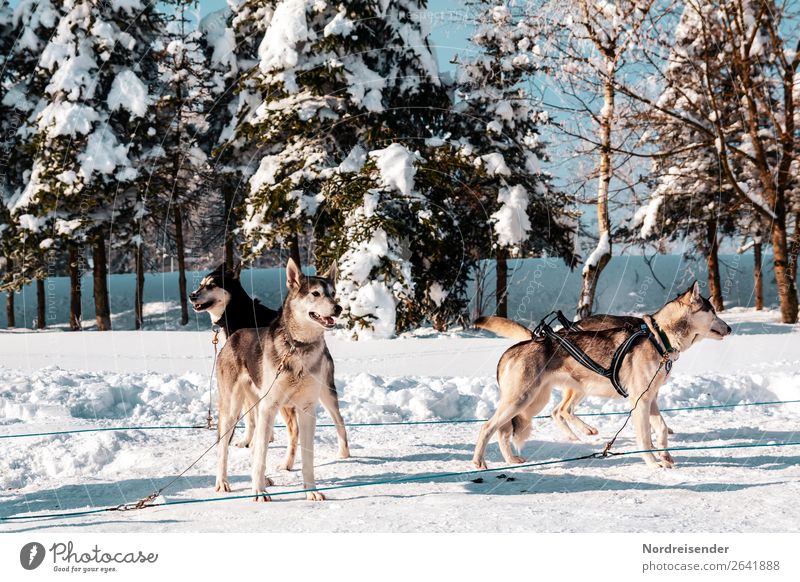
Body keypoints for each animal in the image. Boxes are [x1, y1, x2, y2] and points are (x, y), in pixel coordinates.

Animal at [192, 264, 352, 466]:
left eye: (211, 285)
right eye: (201, 284)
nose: (192, 295)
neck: (237, 311)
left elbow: (252, 418)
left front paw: (252, 442)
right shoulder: (255, 388)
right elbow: (252, 418)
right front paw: (253, 441)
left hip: (322, 391)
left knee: (331, 421)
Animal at [216, 260, 344, 502]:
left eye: (333, 293)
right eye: (315, 293)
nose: (338, 308)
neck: (298, 348)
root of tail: (234, 336)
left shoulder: (307, 410)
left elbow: (307, 458)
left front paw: (311, 490)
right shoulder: (269, 407)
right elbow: (260, 456)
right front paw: (258, 491)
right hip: (233, 411)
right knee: (224, 449)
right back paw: (223, 482)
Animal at [476, 286, 732, 472]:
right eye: (712, 312)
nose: (729, 328)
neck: (659, 338)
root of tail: (516, 347)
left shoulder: (650, 399)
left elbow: (660, 429)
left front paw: (665, 456)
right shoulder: (639, 402)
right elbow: (644, 438)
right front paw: (653, 463)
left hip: (535, 402)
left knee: (508, 429)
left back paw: (512, 459)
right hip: (523, 399)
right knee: (489, 427)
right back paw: (479, 461)